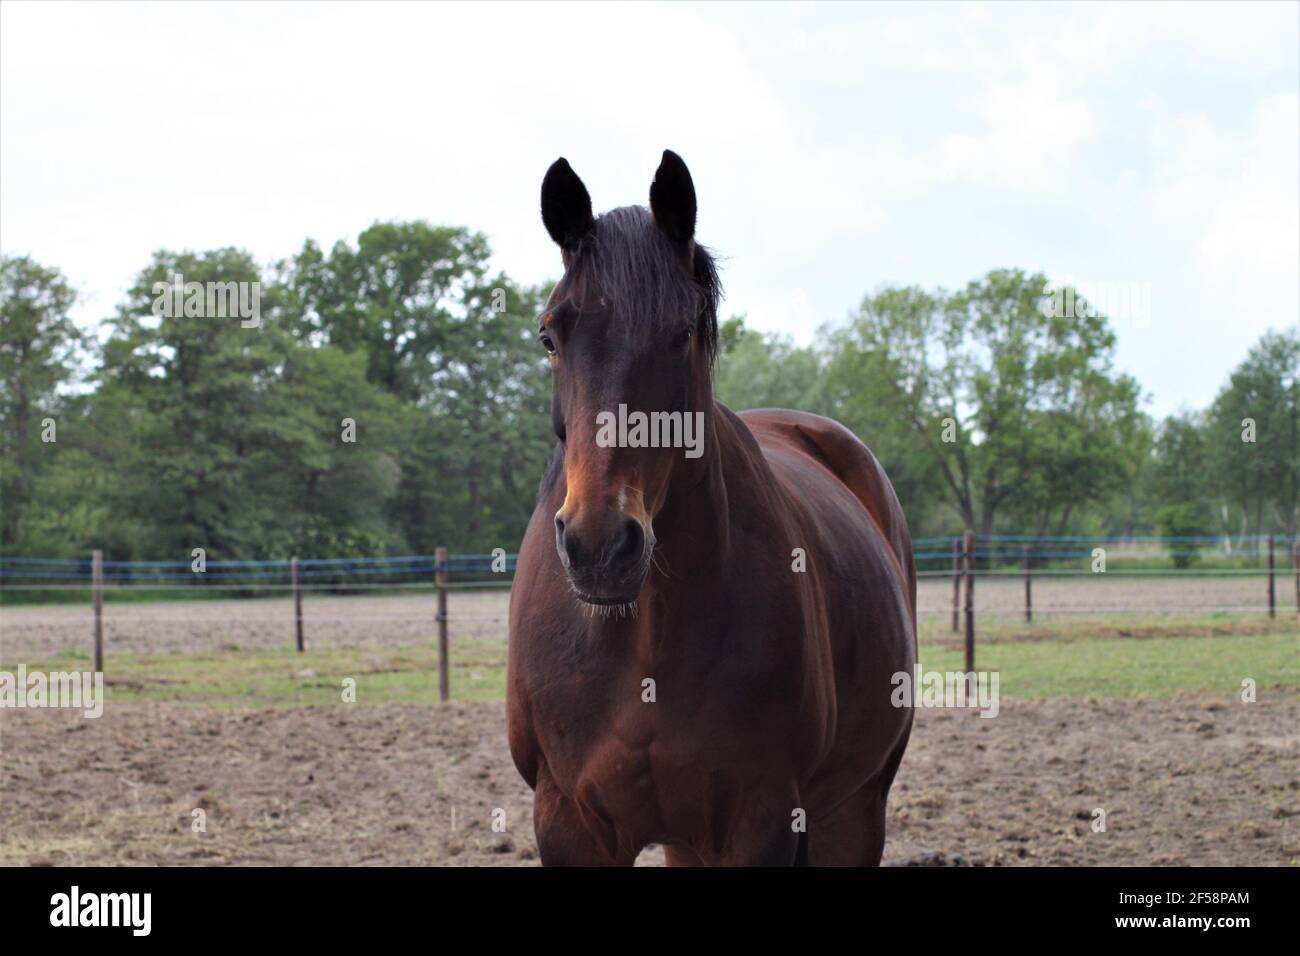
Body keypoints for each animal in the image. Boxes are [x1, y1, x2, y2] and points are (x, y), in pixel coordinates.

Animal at [504, 149, 915, 868]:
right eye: (550, 337)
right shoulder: (568, 823)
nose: (599, 546)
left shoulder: (762, 820)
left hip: (856, 806)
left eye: (683, 333)